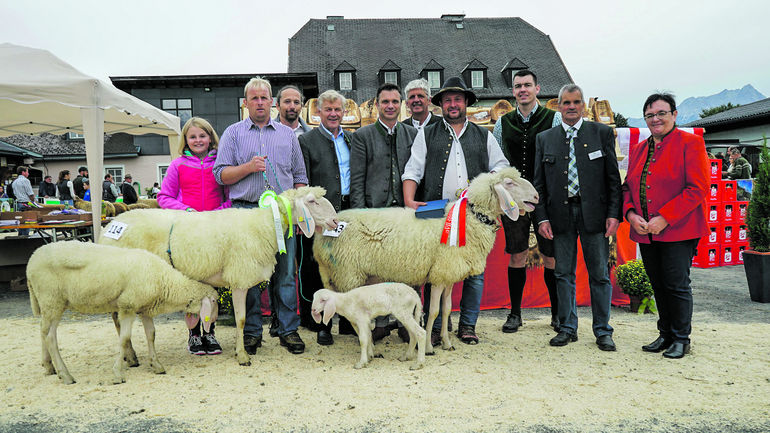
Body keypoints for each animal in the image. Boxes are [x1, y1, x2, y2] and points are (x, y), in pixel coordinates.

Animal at [26, 241, 218, 384]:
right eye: (215, 301)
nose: (214, 320)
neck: (164, 282)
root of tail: (31, 262)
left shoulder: (144, 308)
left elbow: (151, 334)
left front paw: (156, 364)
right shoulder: (128, 306)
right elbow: (124, 339)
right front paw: (118, 374)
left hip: (49, 304)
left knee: (42, 331)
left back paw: (49, 366)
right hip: (53, 300)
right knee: (50, 336)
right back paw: (65, 375)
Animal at [97, 186, 338, 364]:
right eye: (312, 201)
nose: (335, 222)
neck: (266, 224)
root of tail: (107, 230)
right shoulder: (240, 277)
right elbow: (241, 320)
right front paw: (242, 356)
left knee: (117, 320)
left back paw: (130, 356)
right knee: (119, 320)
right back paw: (131, 357)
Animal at [310, 167, 536, 352]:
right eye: (509, 183)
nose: (536, 196)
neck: (469, 219)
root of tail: (325, 231)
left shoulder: (448, 275)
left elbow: (446, 310)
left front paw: (447, 343)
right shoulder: (438, 275)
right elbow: (434, 311)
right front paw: (428, 347)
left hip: (335, 274)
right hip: (348, 273)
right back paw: (369, 344)